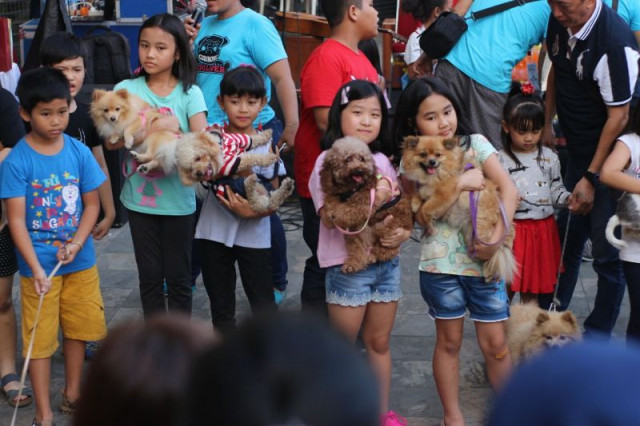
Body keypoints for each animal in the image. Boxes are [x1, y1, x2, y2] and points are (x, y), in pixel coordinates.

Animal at [402, 135, 516, 284]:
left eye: (438, 155)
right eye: (423, 154)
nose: (432, 162)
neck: (434, 176)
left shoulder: (444, 193)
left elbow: (427, 208)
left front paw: (429, 223)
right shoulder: (426, 188)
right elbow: (419, 193)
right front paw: (415, 203)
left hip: (483, 234)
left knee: (495, 252)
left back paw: (490, 273)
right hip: (470, 236)